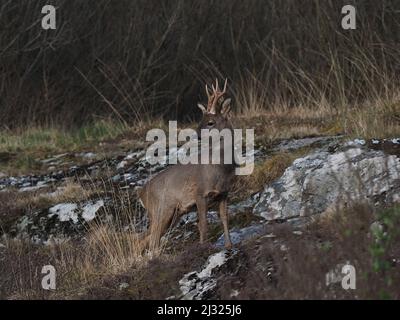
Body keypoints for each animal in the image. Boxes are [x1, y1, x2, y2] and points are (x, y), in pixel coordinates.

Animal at [139, 79, 236, 250]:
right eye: (200, 120)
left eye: (210, 122)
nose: (196, 135)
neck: (220, 168)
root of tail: (141, 195)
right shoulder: (200, 193)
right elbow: (203, 225)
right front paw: (203, 248)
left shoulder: (223, 194)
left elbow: (225, 219)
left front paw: (229, 246)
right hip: (161, 210)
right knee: (152, 240)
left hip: (172, 215)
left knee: (143, 239)